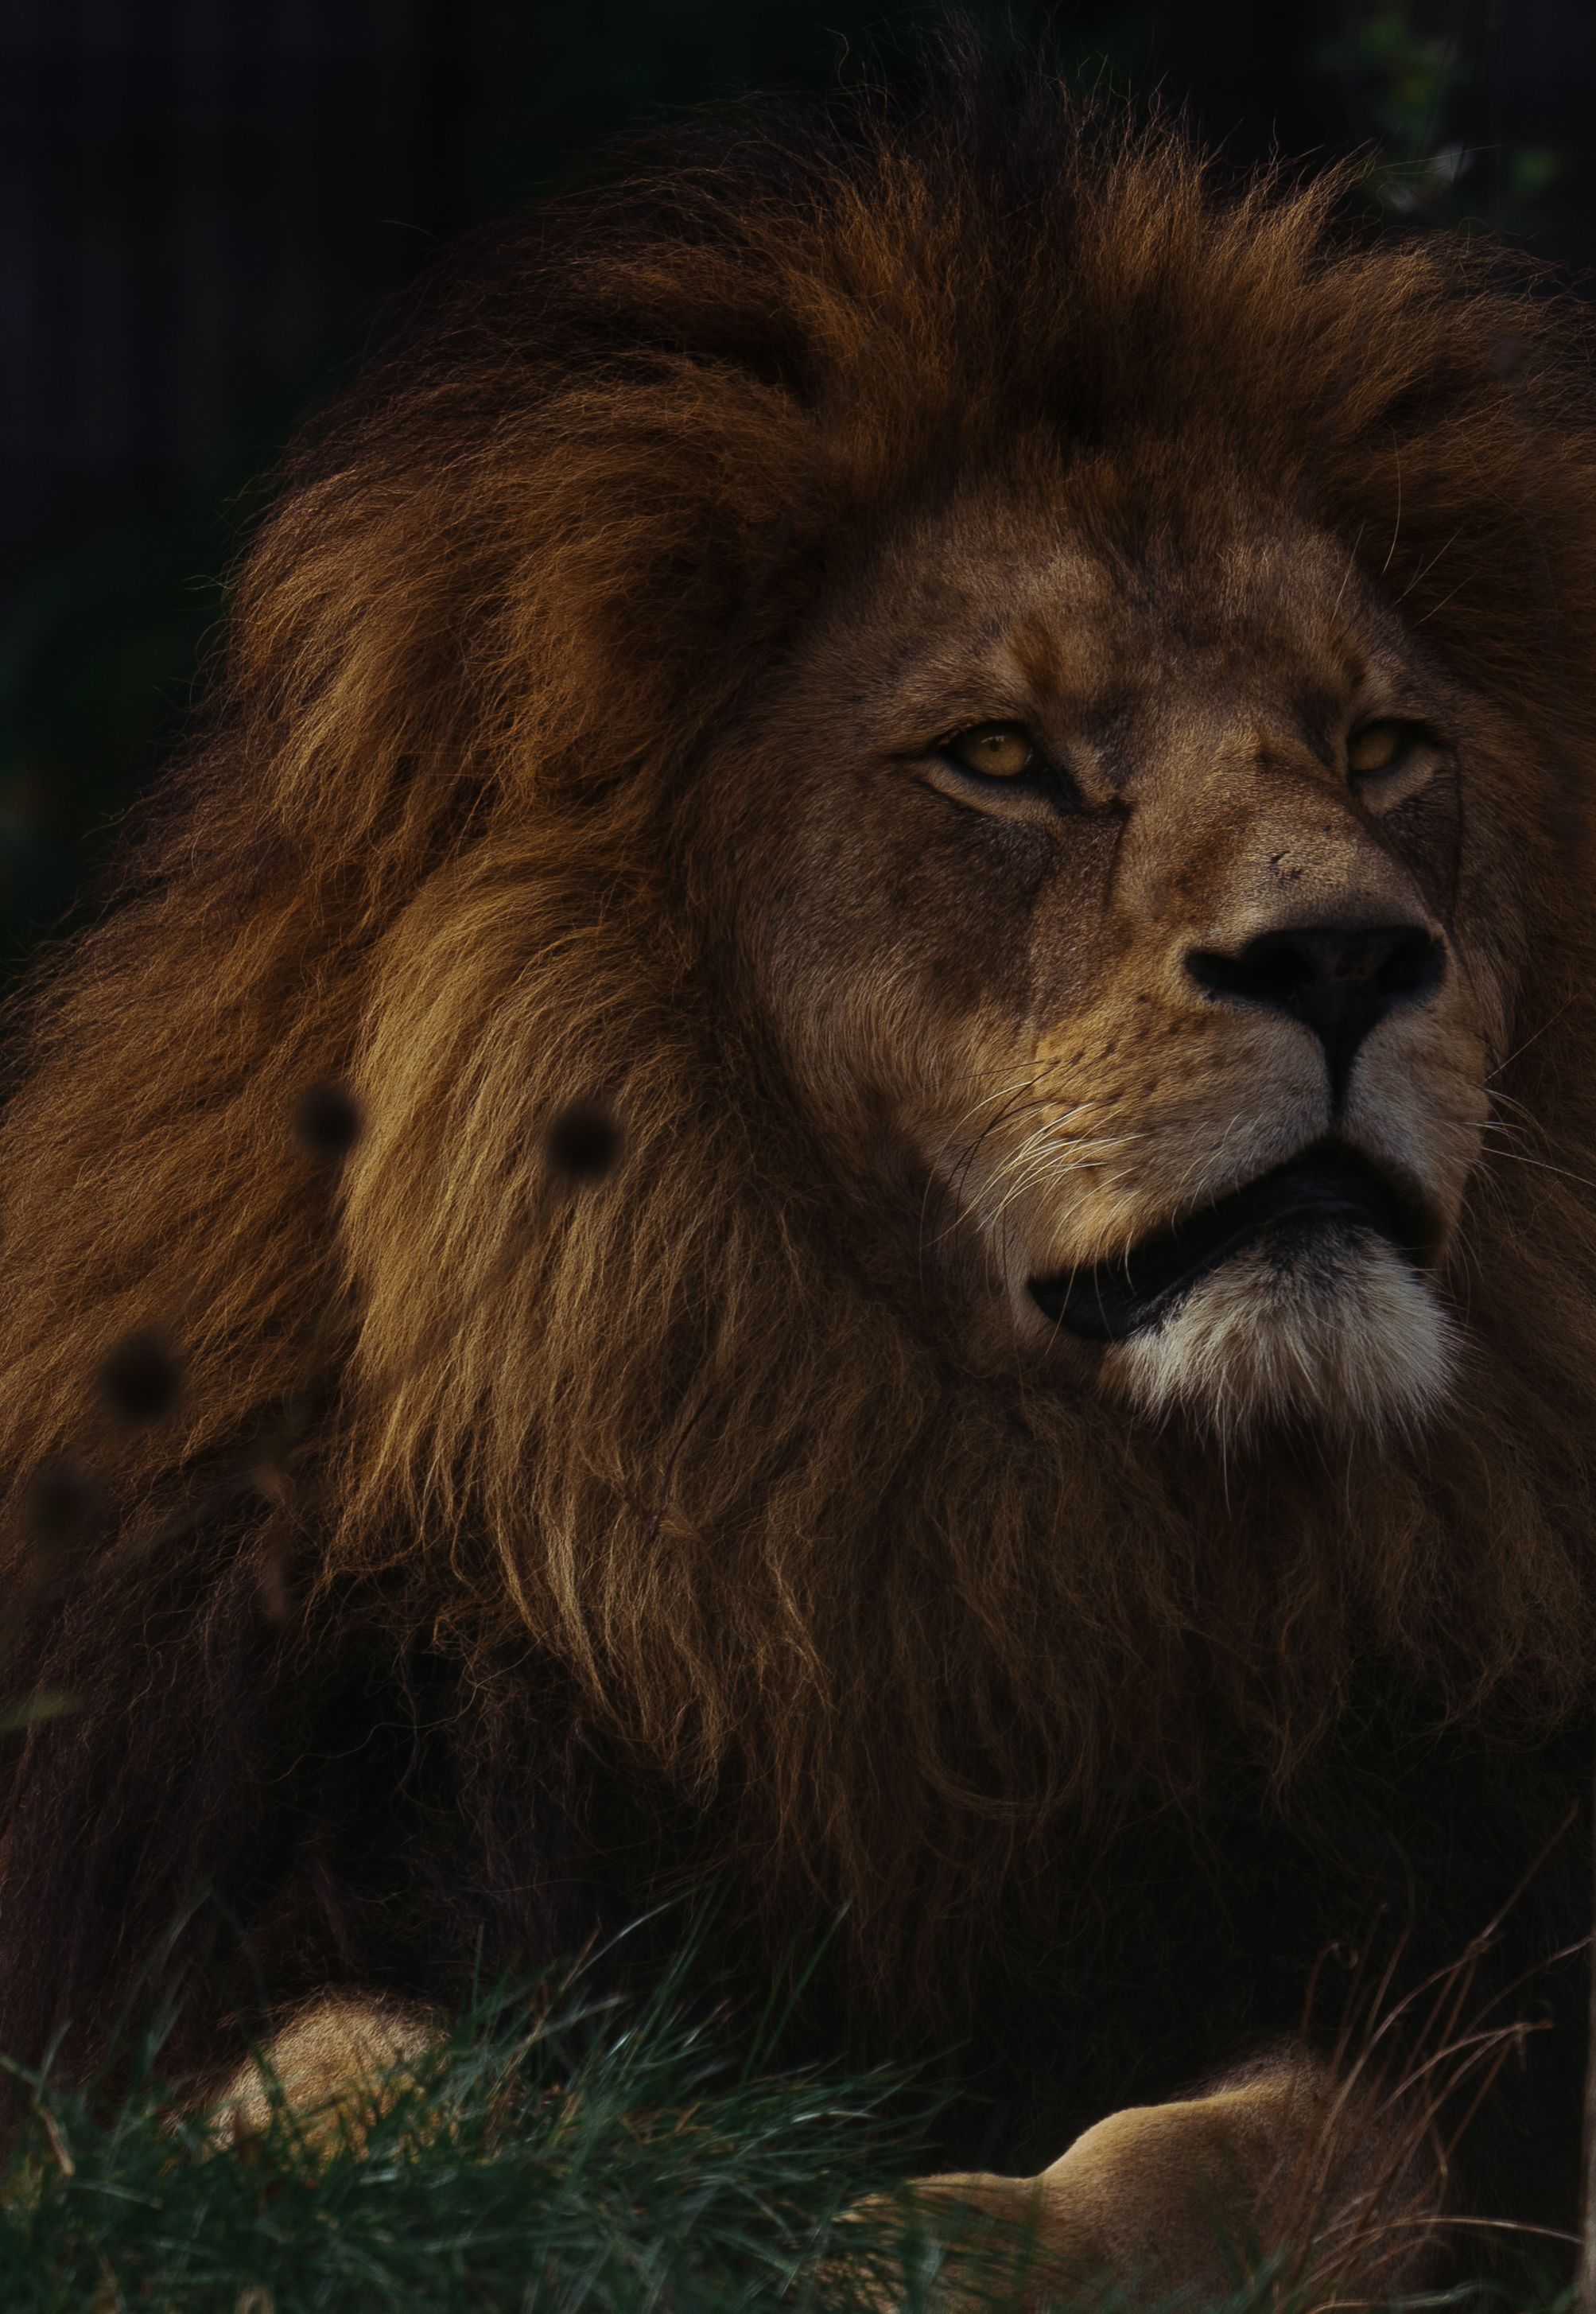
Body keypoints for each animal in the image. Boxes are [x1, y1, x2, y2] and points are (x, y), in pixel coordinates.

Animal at [0, 62, 1594, 2298]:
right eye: (1000, 758)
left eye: (1379, 749)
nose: (1352, 955)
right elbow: (358, 2079)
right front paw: (631, 2168)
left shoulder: (1462, 1960)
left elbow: (1268, 2146)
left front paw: (889, 2228)